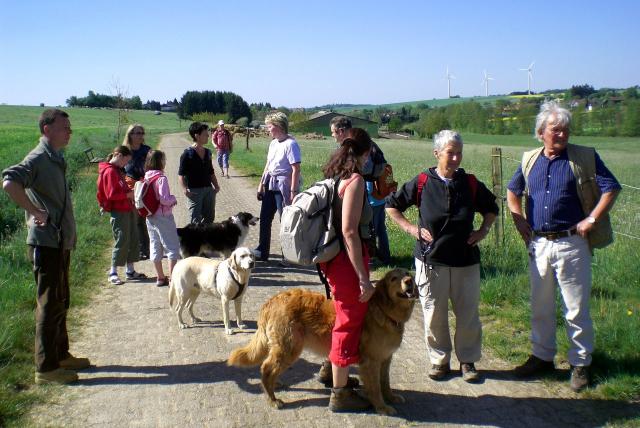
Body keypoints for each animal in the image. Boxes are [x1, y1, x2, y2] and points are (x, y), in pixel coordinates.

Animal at [228, 268, 418, 414]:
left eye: (408, 273)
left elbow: (385, 382)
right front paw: (382, 407)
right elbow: (376, 387)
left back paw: (275, 384)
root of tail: (271, 301)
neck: (384, 310)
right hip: (290, 348)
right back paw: (272, 399)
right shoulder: (371, 361)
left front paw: (391, 397)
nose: (409, 281)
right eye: (393, 279)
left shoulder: (385, 359)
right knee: (266, 368)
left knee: (269, 368)